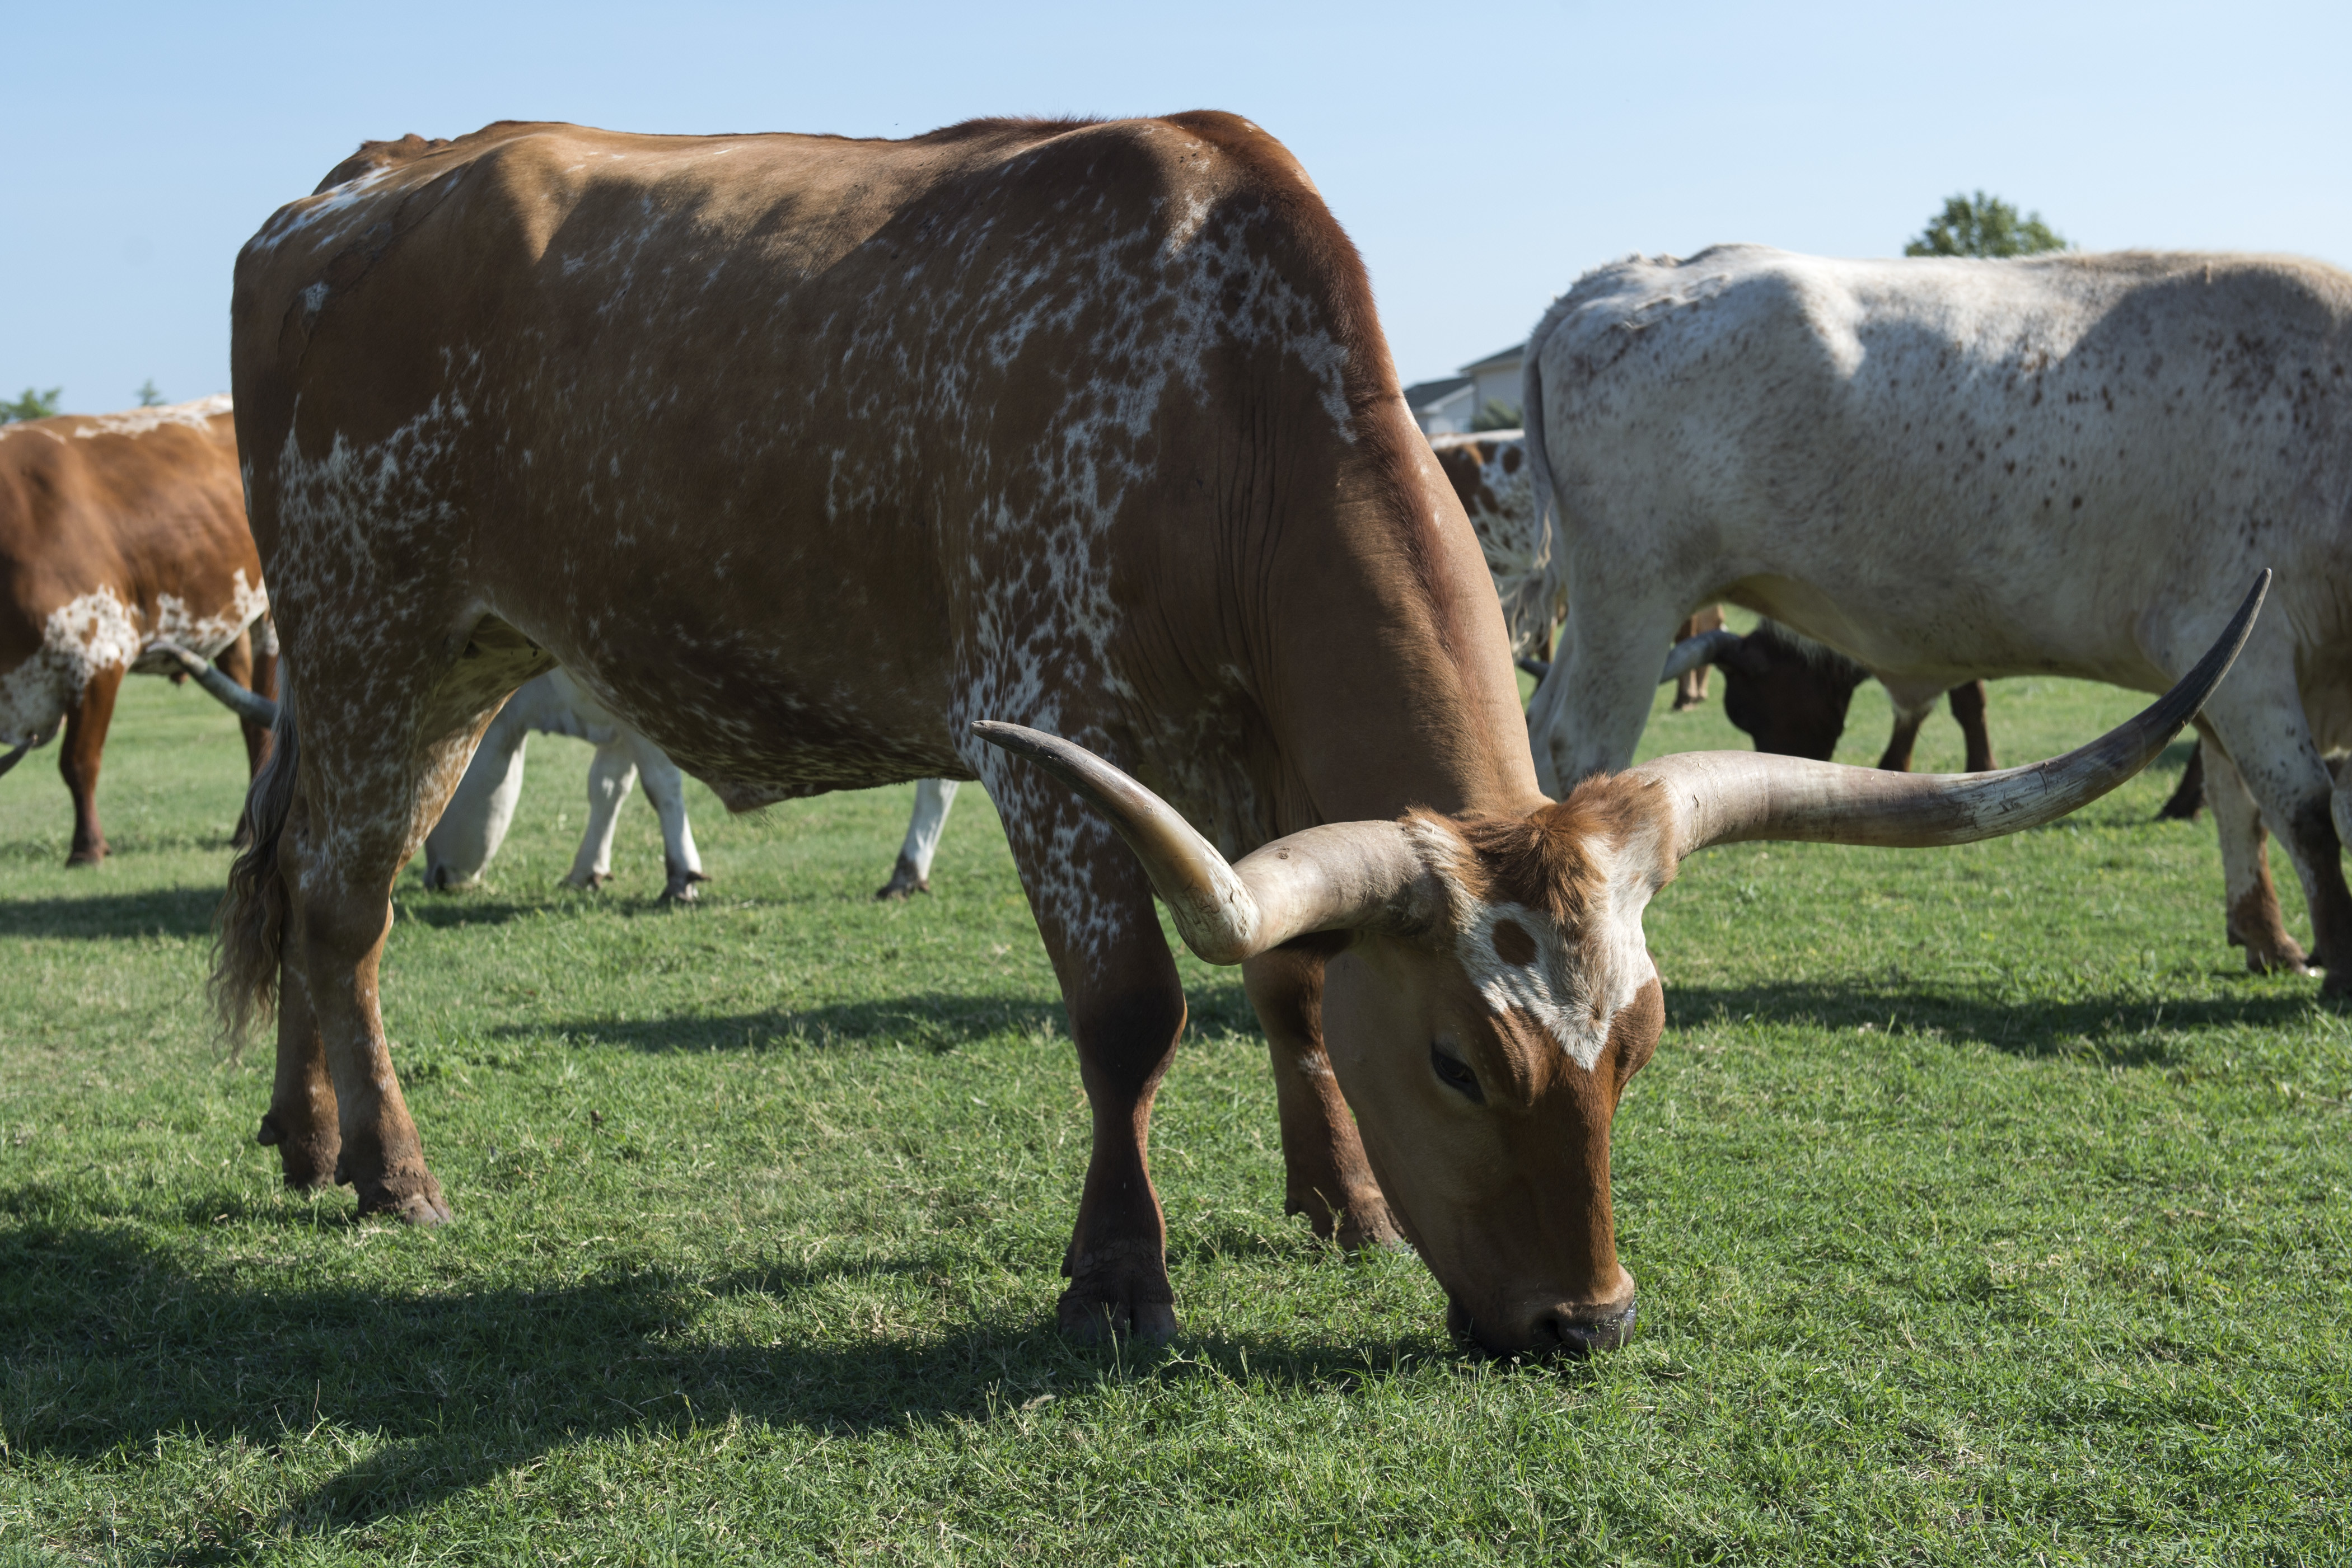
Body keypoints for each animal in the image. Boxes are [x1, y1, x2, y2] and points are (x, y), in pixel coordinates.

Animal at [214, 118, 2252, 1356]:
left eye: (1641, 1043)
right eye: (1458, 1063)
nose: (1585, 1322)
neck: (1222, 408)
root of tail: (356, 183)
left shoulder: (1245, 763)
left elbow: (1286, 978)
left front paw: (1337, 1201)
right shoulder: (1046, 735)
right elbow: (1135, 1015)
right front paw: (1121, 1276)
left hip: (455, 654)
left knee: (310, 893)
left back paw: (301, 1138)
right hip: (377, 629)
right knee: (344, 909)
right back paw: (391, 1173)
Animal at [1523, 246, 2352, 985]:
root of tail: (1629, 275)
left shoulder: (2220, 664)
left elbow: (2238, 802)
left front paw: (2267, 938)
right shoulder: (2240, 645)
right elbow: (2304, 808)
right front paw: (2334, 963)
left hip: (1599, 611)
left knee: (1534, 722)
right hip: (1631, 600)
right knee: (1580, 742)